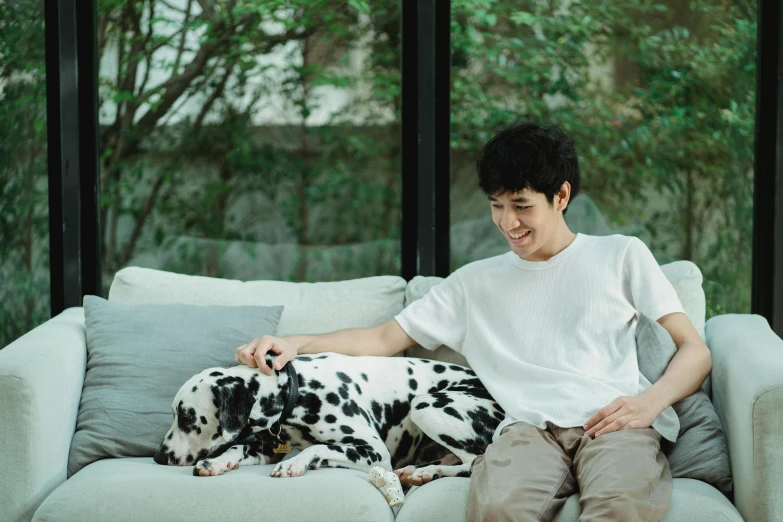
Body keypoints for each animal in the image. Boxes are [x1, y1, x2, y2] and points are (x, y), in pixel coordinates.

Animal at [153, 352, 506, 486]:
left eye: (186, 416)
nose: (158, 457)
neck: (299, 390)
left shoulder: (374, 452)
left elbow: (319, 448)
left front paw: (295, 463)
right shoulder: (266, 447)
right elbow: (239, 447)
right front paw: (218, 461)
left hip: (425, 405)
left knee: (474, 461)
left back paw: (429, 471)